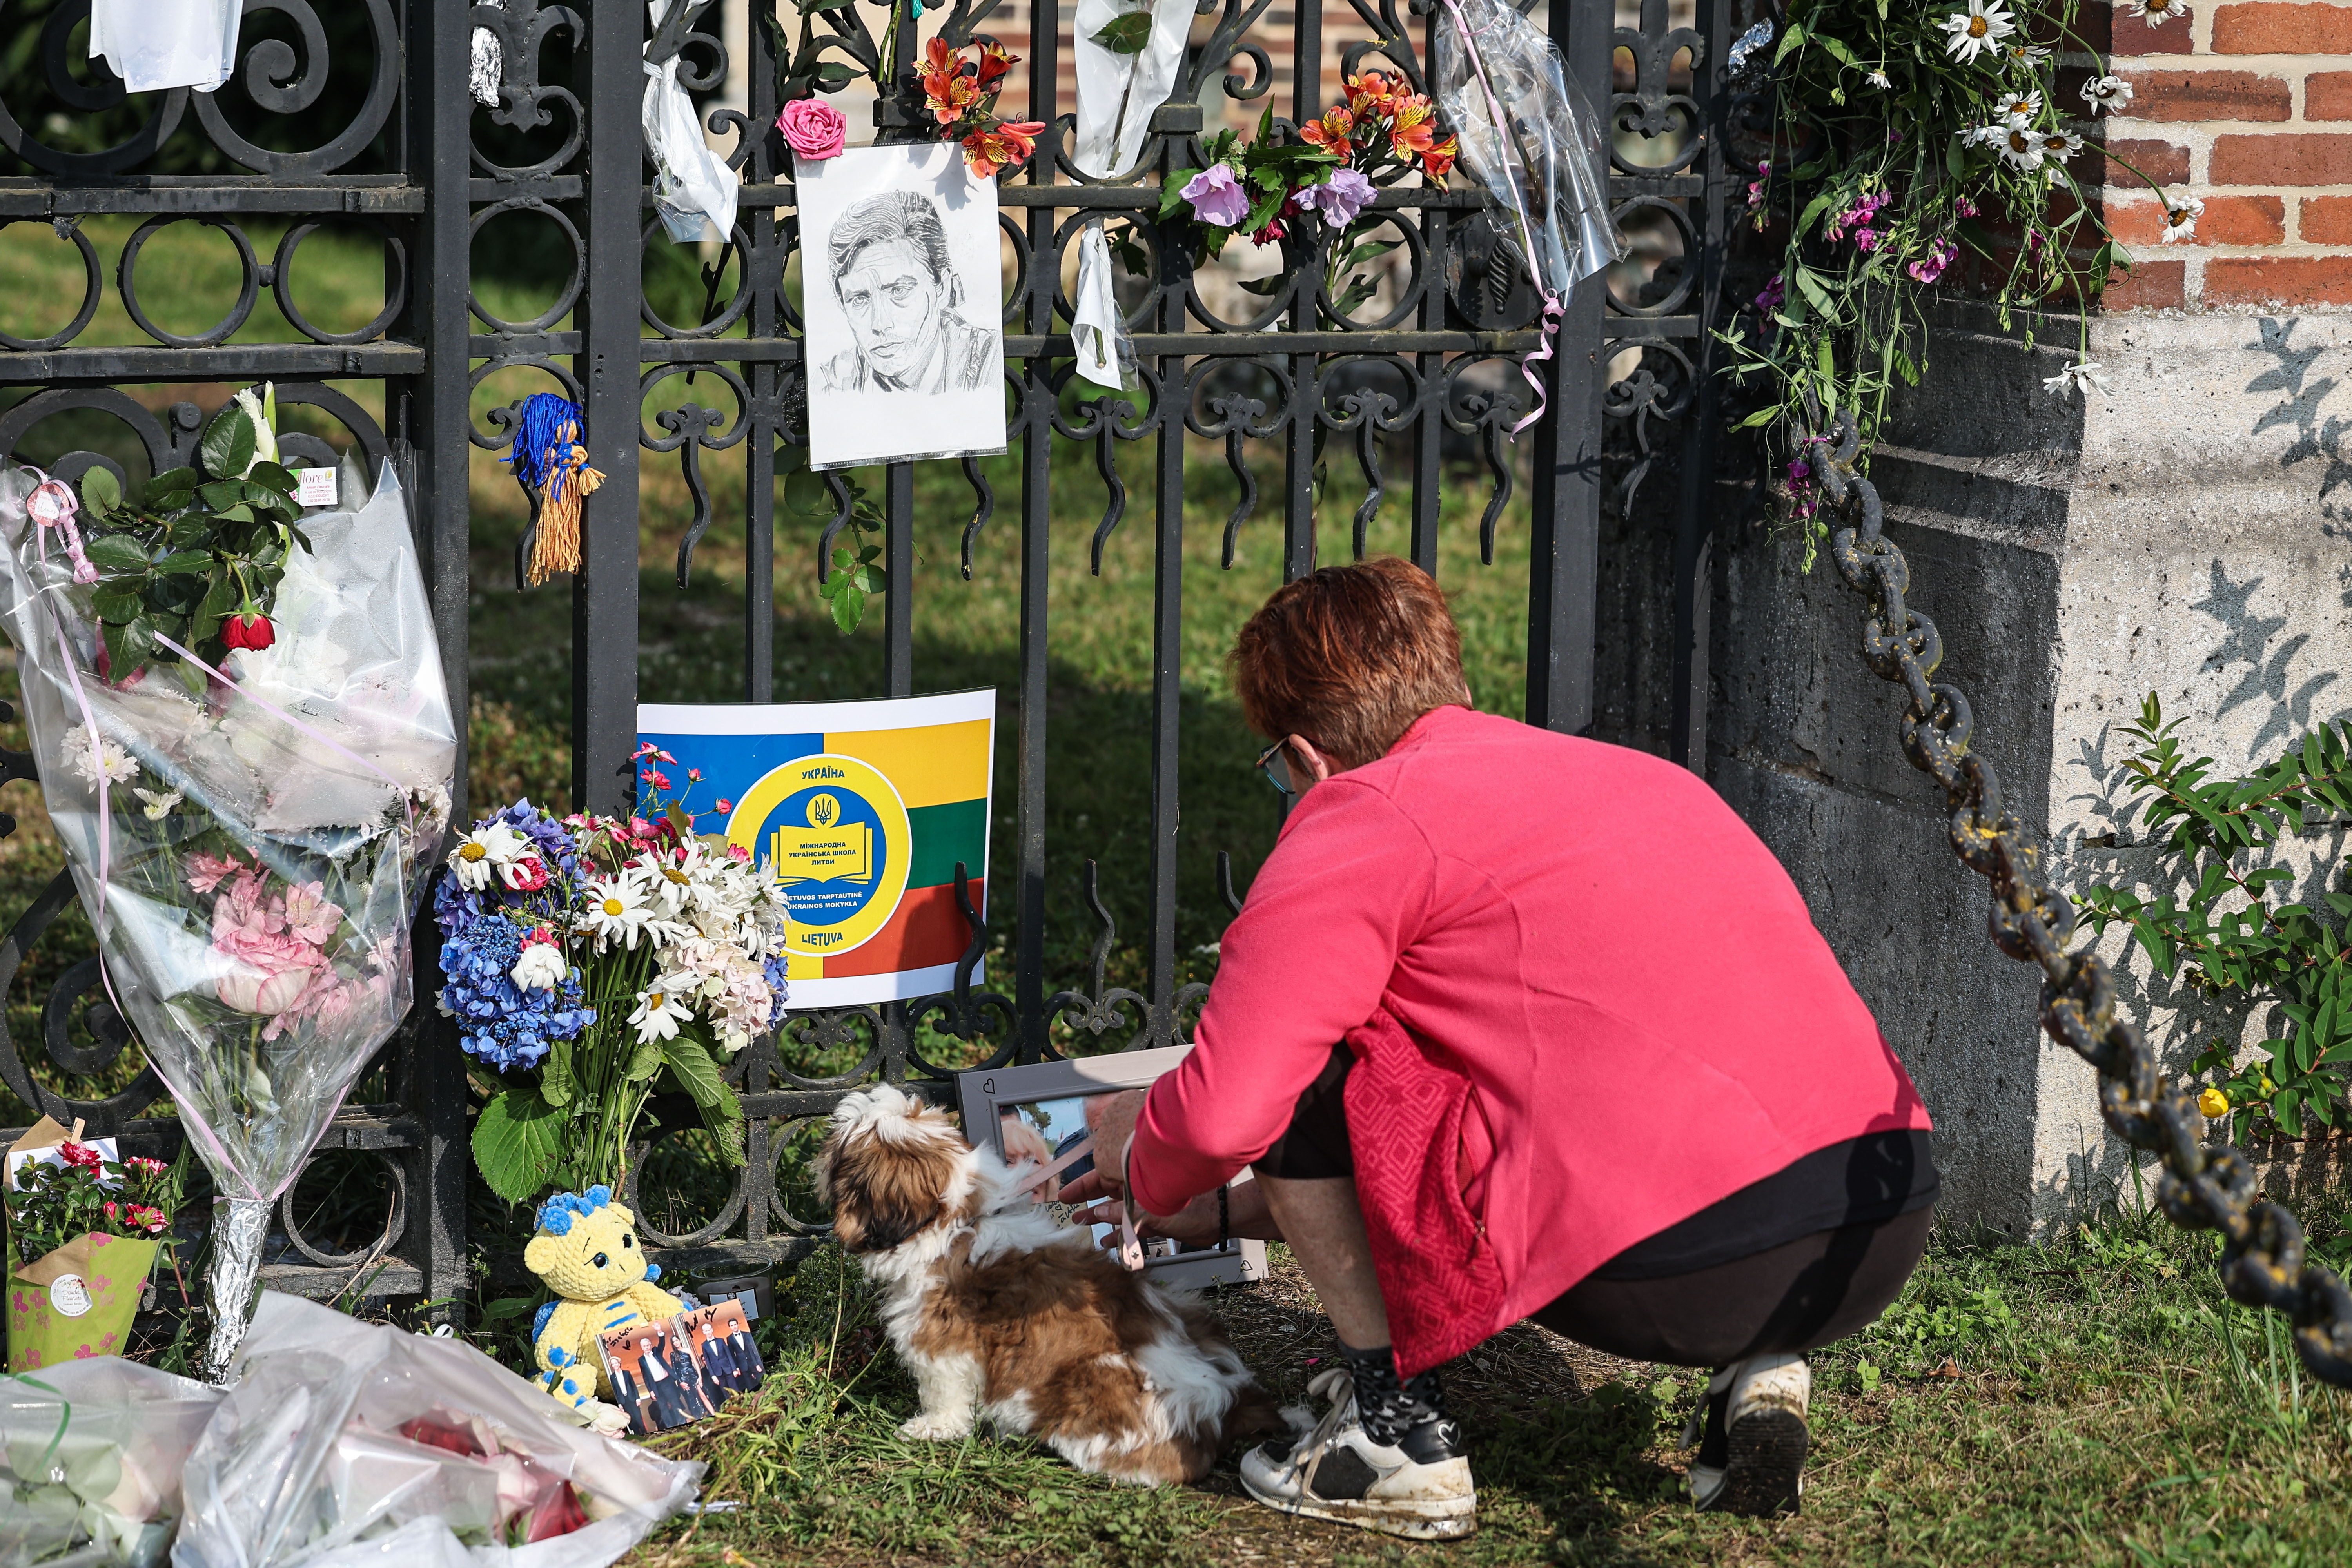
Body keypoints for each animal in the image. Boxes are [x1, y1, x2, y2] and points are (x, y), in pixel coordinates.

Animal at [814, 1081, 1289, 1486]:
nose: (824, 1143)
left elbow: (942, 1387)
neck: (961, 1219)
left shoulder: (941, 1336)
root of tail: (1225, 1402)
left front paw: (932, 1426)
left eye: (842, 1147)